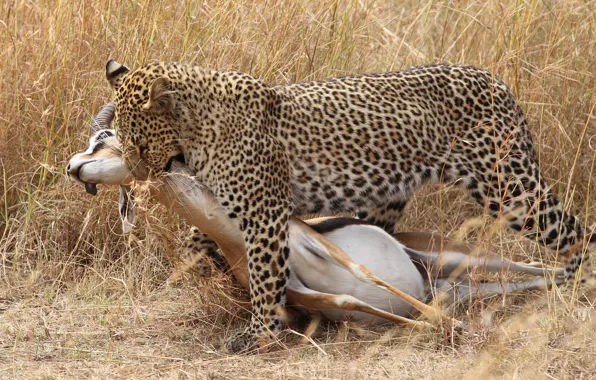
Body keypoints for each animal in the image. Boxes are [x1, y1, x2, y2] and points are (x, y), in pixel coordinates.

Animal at [105, 59, 592, 354]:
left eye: (139, 143)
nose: (137, 174)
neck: (196, 130)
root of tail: (495, 81)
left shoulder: (265, 215)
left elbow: (265, 276)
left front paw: (260, 334)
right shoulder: (236, 205)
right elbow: (200, 238)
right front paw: (203, 271)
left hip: (511, 189)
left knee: (576, 234)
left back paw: (577, 289)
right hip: (391, 203)